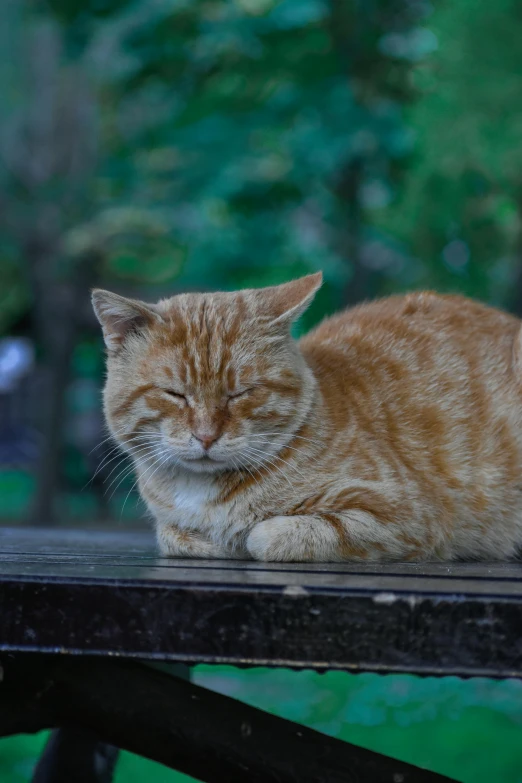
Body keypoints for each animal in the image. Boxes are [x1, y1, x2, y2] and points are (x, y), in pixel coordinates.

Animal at [91, 276, 520, 564]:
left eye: (241, 392)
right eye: (175, 394)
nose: (206, 436)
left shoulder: (404, 515)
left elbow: (266, 535)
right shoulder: (171, 526)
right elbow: (173, 536)